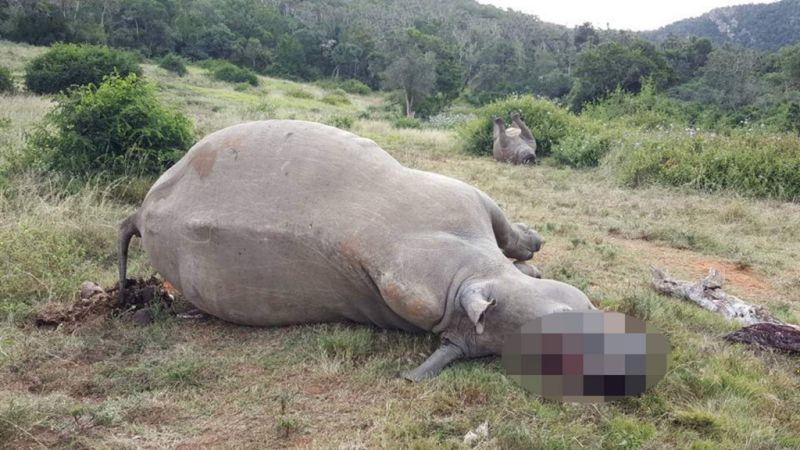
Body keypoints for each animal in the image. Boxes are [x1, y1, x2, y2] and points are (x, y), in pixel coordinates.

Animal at [119, 120, 594, 381]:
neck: (468, 277)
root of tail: (140, 215)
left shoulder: (467, 203)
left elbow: (511, 237)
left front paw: (532, 250)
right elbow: (511, 239)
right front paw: (532, 255)